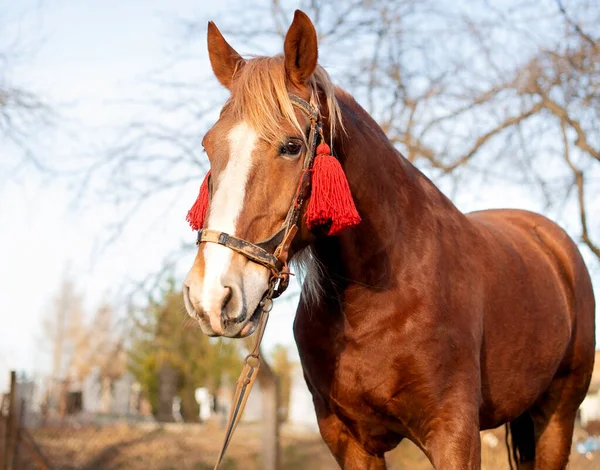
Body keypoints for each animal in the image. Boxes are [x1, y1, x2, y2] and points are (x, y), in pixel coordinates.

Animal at [183, 11, 596, 470]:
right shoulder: (348, 439)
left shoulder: (454, 434)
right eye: (208, 146)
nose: (210, 296)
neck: (377, 297)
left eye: (291, 146)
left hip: (558, 415)